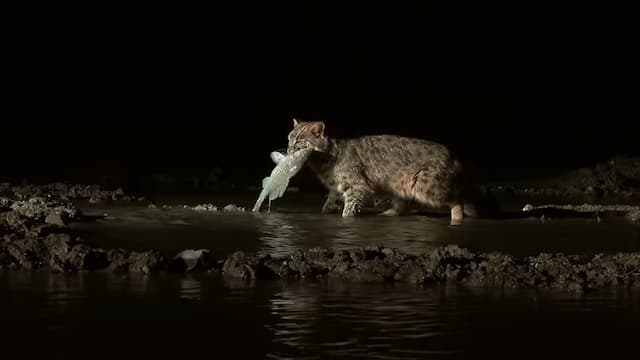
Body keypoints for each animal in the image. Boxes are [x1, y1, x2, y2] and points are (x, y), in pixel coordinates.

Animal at [288, 119, 472, 224]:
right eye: (289, 139)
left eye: (298, 141)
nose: (288, 150)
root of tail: (453, 156)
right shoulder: (335, 189)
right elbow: (327, 206)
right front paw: (324, 214)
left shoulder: (357, 187)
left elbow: (348, 209)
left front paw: (346, 217)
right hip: (398, 186)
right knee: (403, 206)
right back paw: (389, 213)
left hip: (425, 186)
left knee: (457, 200)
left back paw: (457, 218)